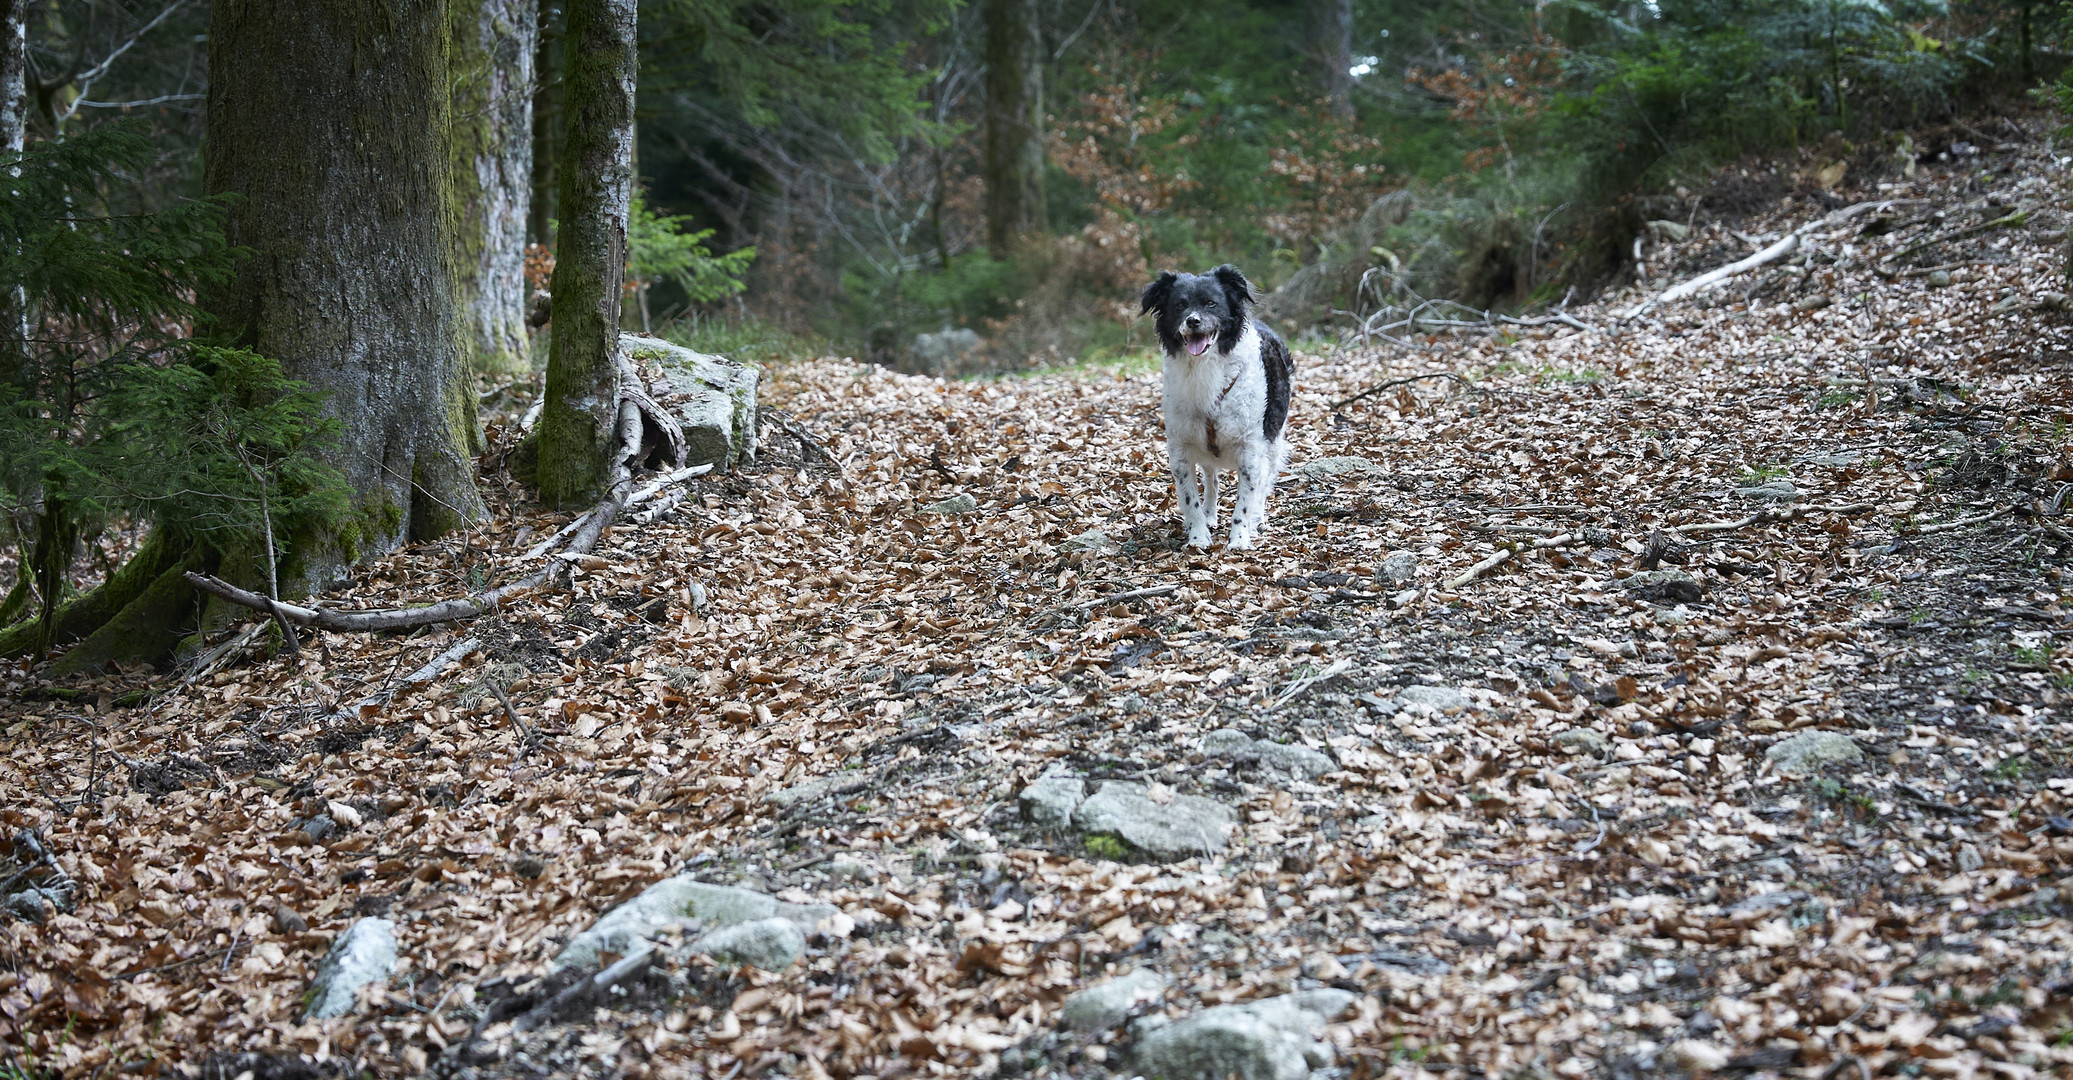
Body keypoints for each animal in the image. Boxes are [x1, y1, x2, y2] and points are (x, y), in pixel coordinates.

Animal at [1144, 262, 1285, 547]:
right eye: (1180, 305)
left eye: (1211, 303)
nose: (1193, 321)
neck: (1204, 368)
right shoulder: (1181, 448)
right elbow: (1191, 499)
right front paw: (1198, 536)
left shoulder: (1250, 448)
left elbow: (1245, 499)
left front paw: (1239, 539)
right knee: (1211, 479)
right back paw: (1210, 514)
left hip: (1273, 441)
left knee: (1265, 480)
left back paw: (1257, 519)